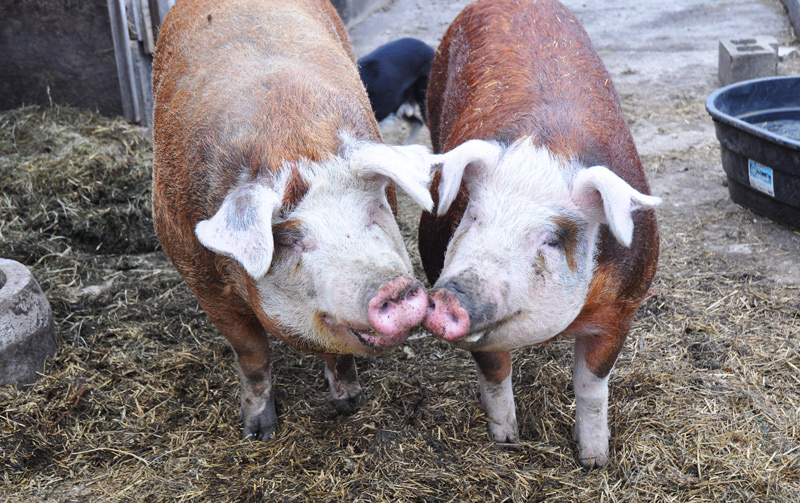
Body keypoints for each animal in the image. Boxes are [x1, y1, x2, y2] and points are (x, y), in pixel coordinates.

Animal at [152, 0, 438, 441]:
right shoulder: (200, 278)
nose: (393, 287)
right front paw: (257, 434)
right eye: (288, 240)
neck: (292, 146)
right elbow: (252, 354)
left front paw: (349, 405)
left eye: (374, 210)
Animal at [418, 0, 661, 469]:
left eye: (549, 239)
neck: (547, 147)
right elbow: (495, 372)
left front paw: (594, 461)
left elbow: (591, 386)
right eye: (473, 215)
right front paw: (507, 441)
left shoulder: (623, 309)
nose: (451, 296)